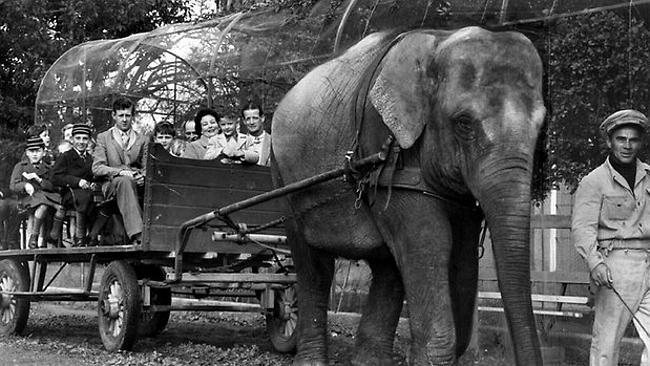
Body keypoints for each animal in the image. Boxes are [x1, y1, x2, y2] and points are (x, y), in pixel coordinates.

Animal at [270, 26, 544, 366]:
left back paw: (369, 363)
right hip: (285, 179)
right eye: (464, 123)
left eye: (541, 125)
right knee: (313, 267)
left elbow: (462, 250)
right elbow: (429, 240)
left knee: (387, 268)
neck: (439, 42)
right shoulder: (387, 150)